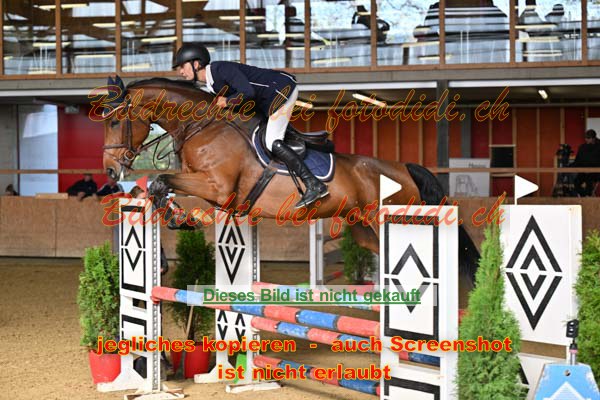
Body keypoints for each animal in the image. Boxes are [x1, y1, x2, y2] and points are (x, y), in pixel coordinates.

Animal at [100, 75, 480, 284]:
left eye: (115, 121)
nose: (110, 170)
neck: (203, 126)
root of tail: (403, 168)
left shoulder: (217, 188)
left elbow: (161, 180)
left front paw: (179, 218)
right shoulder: (207, 188)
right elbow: (159, 186)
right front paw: (177, 222)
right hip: (362, 226)